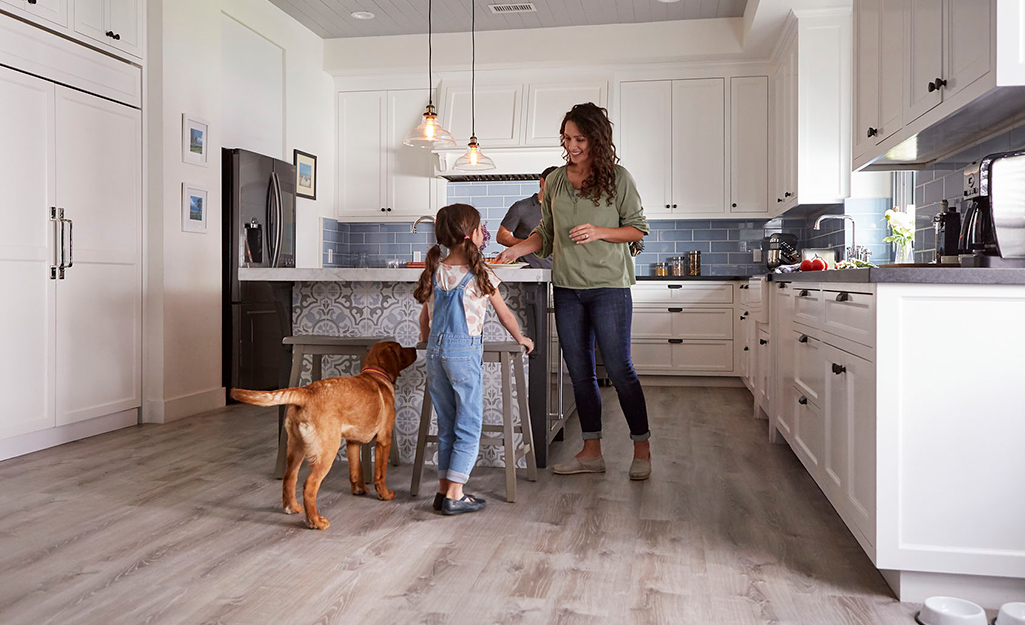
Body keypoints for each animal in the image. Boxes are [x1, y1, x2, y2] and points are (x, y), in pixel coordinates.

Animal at [231, 340, 416, 524]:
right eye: (400, 348)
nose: (414, 348)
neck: (376, 375)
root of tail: (306, 392)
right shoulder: (384, 439)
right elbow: (380, 474)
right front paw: (385, 495)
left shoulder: (352, 442)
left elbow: (357, 469)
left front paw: (360, 490)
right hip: (327, 450)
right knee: (310, 485)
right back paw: (316, 521)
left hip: (296, 447)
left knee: (289, 478)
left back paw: (293, 507)